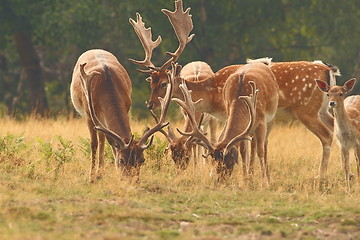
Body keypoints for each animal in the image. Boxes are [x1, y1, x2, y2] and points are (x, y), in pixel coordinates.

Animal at [70, 49, 173, 183]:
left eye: (142, 160)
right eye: (122, 160)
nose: (133, 181)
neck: (106, 87)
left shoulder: (127, 106)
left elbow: (111, 142)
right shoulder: (88, 114)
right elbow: (93, 144)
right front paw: (91, 178)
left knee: (103, 138)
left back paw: (100, 172)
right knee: (100, 140)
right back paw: (97, 174)